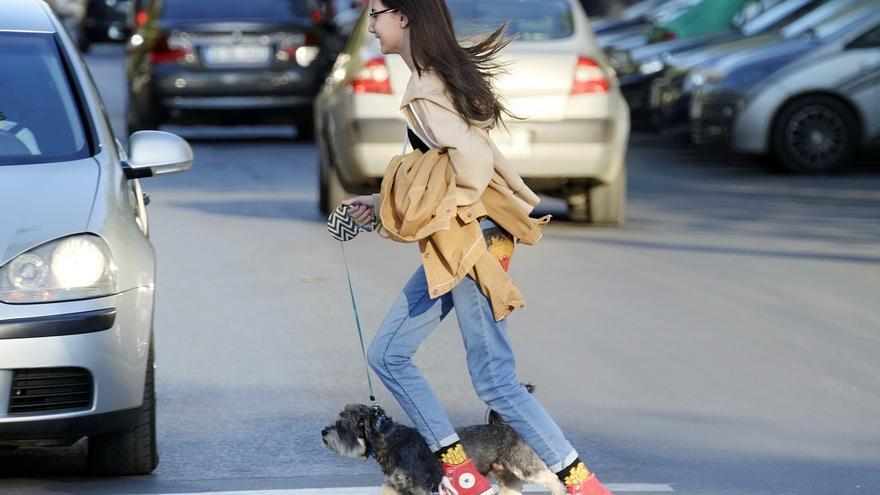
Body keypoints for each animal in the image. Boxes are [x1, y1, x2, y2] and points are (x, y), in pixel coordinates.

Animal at [324, 404, 564, 495]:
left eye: (341, 425)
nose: (323, 433)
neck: (390, 440)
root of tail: (509, 427)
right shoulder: (396, 486)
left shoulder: (420, 487)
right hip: (507, 477)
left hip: (524, 467)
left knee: (552, 478)